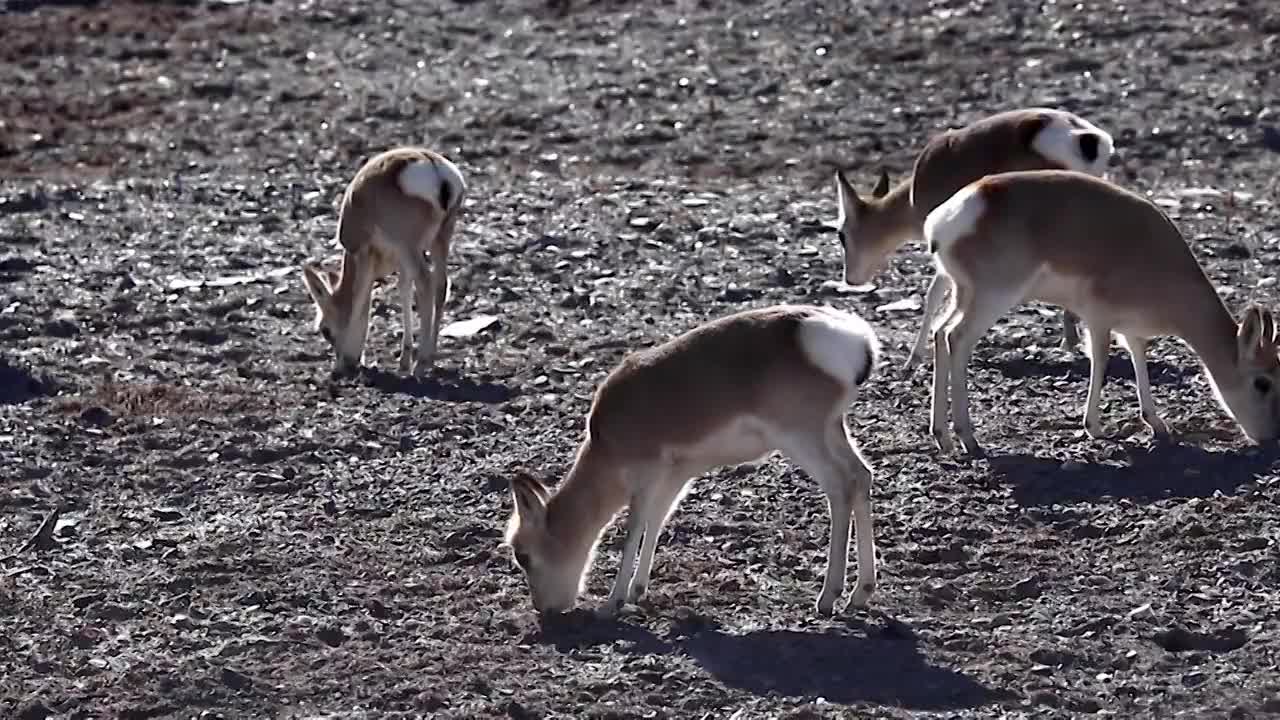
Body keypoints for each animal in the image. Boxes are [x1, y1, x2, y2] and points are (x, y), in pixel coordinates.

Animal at [298, 148, 465, 379]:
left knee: (425, 283)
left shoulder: (364, 254)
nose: (342, 368)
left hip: (410, 245)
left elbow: (359, 297)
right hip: (440, 238)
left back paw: (421, 364)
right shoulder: (401, 262)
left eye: (325, 331)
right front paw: (403, 361)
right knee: (441, 286)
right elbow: (403, 291)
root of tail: (433, 166)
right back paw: (429, 360)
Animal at [496, 302, 880, 617]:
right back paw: (860, 594)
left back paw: (828, 597)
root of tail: (855, 338)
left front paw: (612, 602)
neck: (605, 439)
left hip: (800, 438)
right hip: (832, 429)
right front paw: (636, 591)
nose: (543, 609)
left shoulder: (647, 474)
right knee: (861, 475)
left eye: (522, 555)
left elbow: (634, 528)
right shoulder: (677, 476)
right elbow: (657, 520)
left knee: (840, 486)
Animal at [834, 106, 1116, 366]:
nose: (850, 279)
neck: (915, 194)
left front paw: (914, 358)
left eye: (841, 235)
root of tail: (1083, 136)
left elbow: (934, 293)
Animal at [921, 166, 1280, 453]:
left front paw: (1157, 423)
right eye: (1262, 383)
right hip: (992, 296)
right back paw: (968, 438)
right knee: (957, 338)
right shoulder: (1098, 319)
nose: (1270, 438)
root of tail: (944, 219)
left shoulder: (1132, 329)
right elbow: (1101, 359)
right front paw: (1094, 427)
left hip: (963, 292)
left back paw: (943, 436)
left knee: (940, 333)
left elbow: (1138, 359)